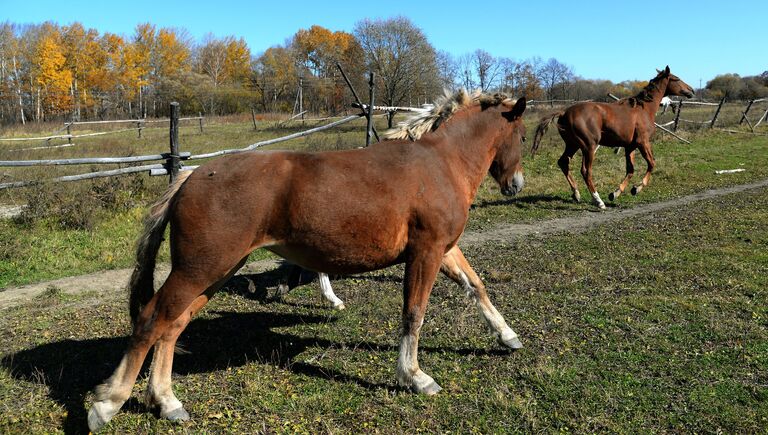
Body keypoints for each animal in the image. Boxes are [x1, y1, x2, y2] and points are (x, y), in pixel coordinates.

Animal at [85, 90, 528, 430]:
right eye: (522, 135)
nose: (516, 185)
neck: (438, 165)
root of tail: (190, 177)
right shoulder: (427, 252)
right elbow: (414, 314)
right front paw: (414, 376)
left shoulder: (445, 249)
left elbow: (476, 286)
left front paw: (508, 337)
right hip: (200, 268)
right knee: (151, 320)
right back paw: (107, 404)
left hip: (215, 271)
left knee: (173, 325)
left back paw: (167, 402)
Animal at [532, 66, 692, 209]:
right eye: (676, 78)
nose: (691, 90)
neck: (644, 109)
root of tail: (564, 113)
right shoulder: (643, 142)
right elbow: (651, 164)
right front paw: (636, 189)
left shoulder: (630, 146)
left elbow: (630, 170)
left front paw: (615, 193)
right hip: (588, 147)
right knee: (586, 171)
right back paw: (598, 201)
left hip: (573, 145)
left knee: (563, 162)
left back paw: (576, 194)